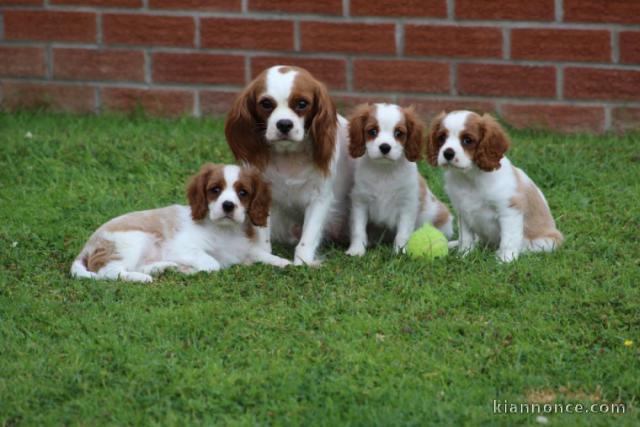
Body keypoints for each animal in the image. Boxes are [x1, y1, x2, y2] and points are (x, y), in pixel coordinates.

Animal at [70, 162, 290, 282]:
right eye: (215, 190)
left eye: (243, 192)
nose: (228, 205)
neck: (225, 230)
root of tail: (87, 246)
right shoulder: (183, 248)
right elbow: (213, 264)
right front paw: (192, 269)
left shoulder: (244, 250)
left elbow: (262, 254)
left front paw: (286, 262)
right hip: (131, 242)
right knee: (109, 272)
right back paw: (144, 277)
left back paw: (164, 268)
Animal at [225, 65, 356, 266]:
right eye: (266, 104)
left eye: (302, 104)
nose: (284, 124)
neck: (289, 155)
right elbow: (262, 237)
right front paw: (266, 257)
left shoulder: (320, 198)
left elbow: (308, 237)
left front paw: (303, 262)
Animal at [344, 103, 456, 258]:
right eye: (372, 131)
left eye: (398, 133)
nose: (385, 147)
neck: (385, 171)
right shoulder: (360, 202)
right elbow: (358, 229)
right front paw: (356, 250)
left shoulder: (407, 205)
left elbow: (403, 232)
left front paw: (400, 251)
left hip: (442, 218)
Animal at [428, 111, 564, 264]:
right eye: (441, 138)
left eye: (467, 140)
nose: (447, 153)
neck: (470, 177)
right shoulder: (463, 212)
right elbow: (466, 238)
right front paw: (464, 254)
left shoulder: (509, 210)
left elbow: (508, 239)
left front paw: (505, 259)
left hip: (546, 242)